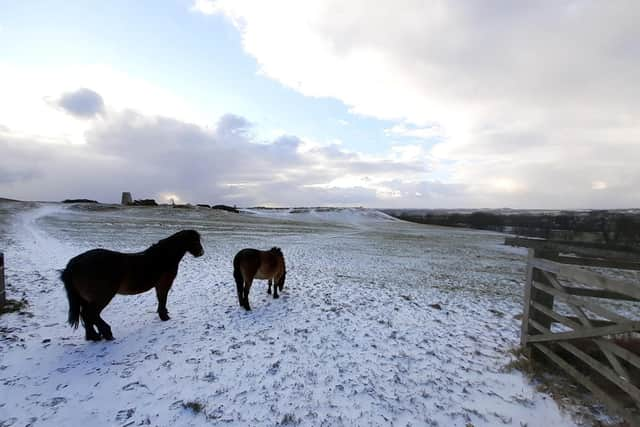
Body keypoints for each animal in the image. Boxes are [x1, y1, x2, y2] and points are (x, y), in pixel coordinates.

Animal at [60, 229, 202, 342]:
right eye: (195, 240)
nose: (201, 252)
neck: (162, 257)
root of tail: (73, 265)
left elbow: (161, 299)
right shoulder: (163, 284)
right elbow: (162, 299)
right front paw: (164, 317)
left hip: (86, 299)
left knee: (86, 316)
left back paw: (93, 336)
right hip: (103, 297)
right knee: (90, 314)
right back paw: (107, 334)